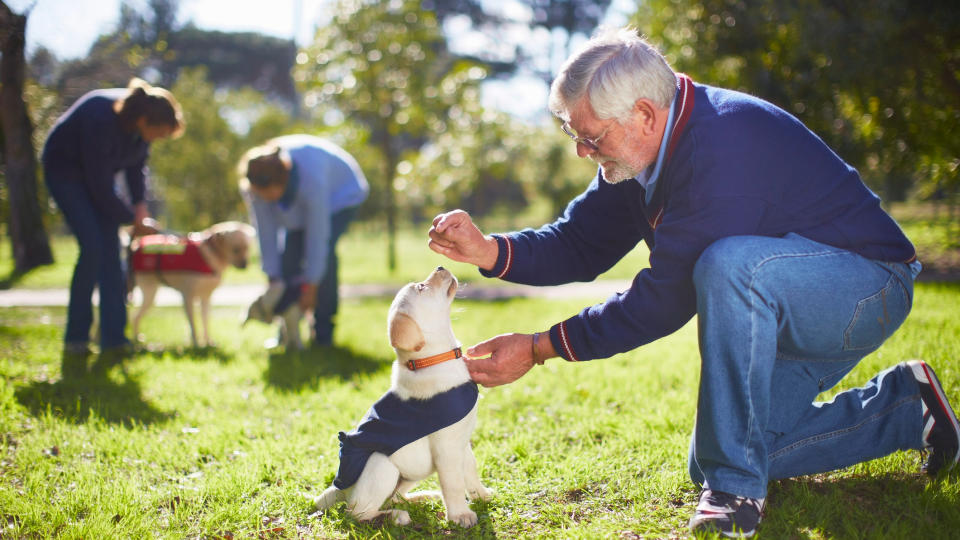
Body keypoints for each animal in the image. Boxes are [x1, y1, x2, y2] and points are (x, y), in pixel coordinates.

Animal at [316, 266, 492, 528]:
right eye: (421, 287)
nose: (440, 266)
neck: (432, 360)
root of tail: (339, 489)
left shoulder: (461, 442)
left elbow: (470, 469)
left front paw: (481, 495)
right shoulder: (447, 448)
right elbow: (453, 483)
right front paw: (460, 515)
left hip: (414, 471)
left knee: (394, 496)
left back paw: (421, 498)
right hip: (381, 465)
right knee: (357, 513)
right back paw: (395, 516)